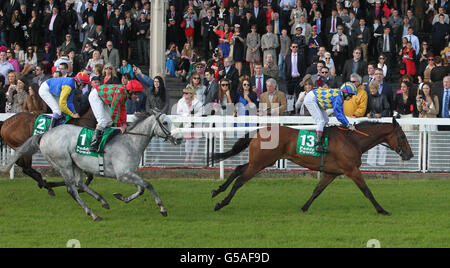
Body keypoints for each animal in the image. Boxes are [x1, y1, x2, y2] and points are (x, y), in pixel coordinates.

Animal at [1, 112, 184, 221]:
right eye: (165, 122)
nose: (180, 138)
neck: (130, 142)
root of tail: (43, 135)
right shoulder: (122, 174)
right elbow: (148, 185)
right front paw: (162, 208)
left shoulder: (129, 173)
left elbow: (141, 189)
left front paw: (121, 197)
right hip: (63, 163)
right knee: (71, 189)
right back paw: (92, 213)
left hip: (75, 164)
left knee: (80, 184)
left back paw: (102, 201)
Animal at [212, 118, 414, 215]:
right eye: (402, 136)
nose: (410, 155)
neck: (353, 141)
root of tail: (258, 132)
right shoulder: (351, 170)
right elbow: (367, 191)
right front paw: (382, 210)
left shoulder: (331, 172)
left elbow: (317, 190)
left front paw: (304, 207)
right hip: (260, 162)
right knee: (240, 179)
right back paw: (221, 203)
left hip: (261, 161)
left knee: (238, 169)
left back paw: (217, 191)